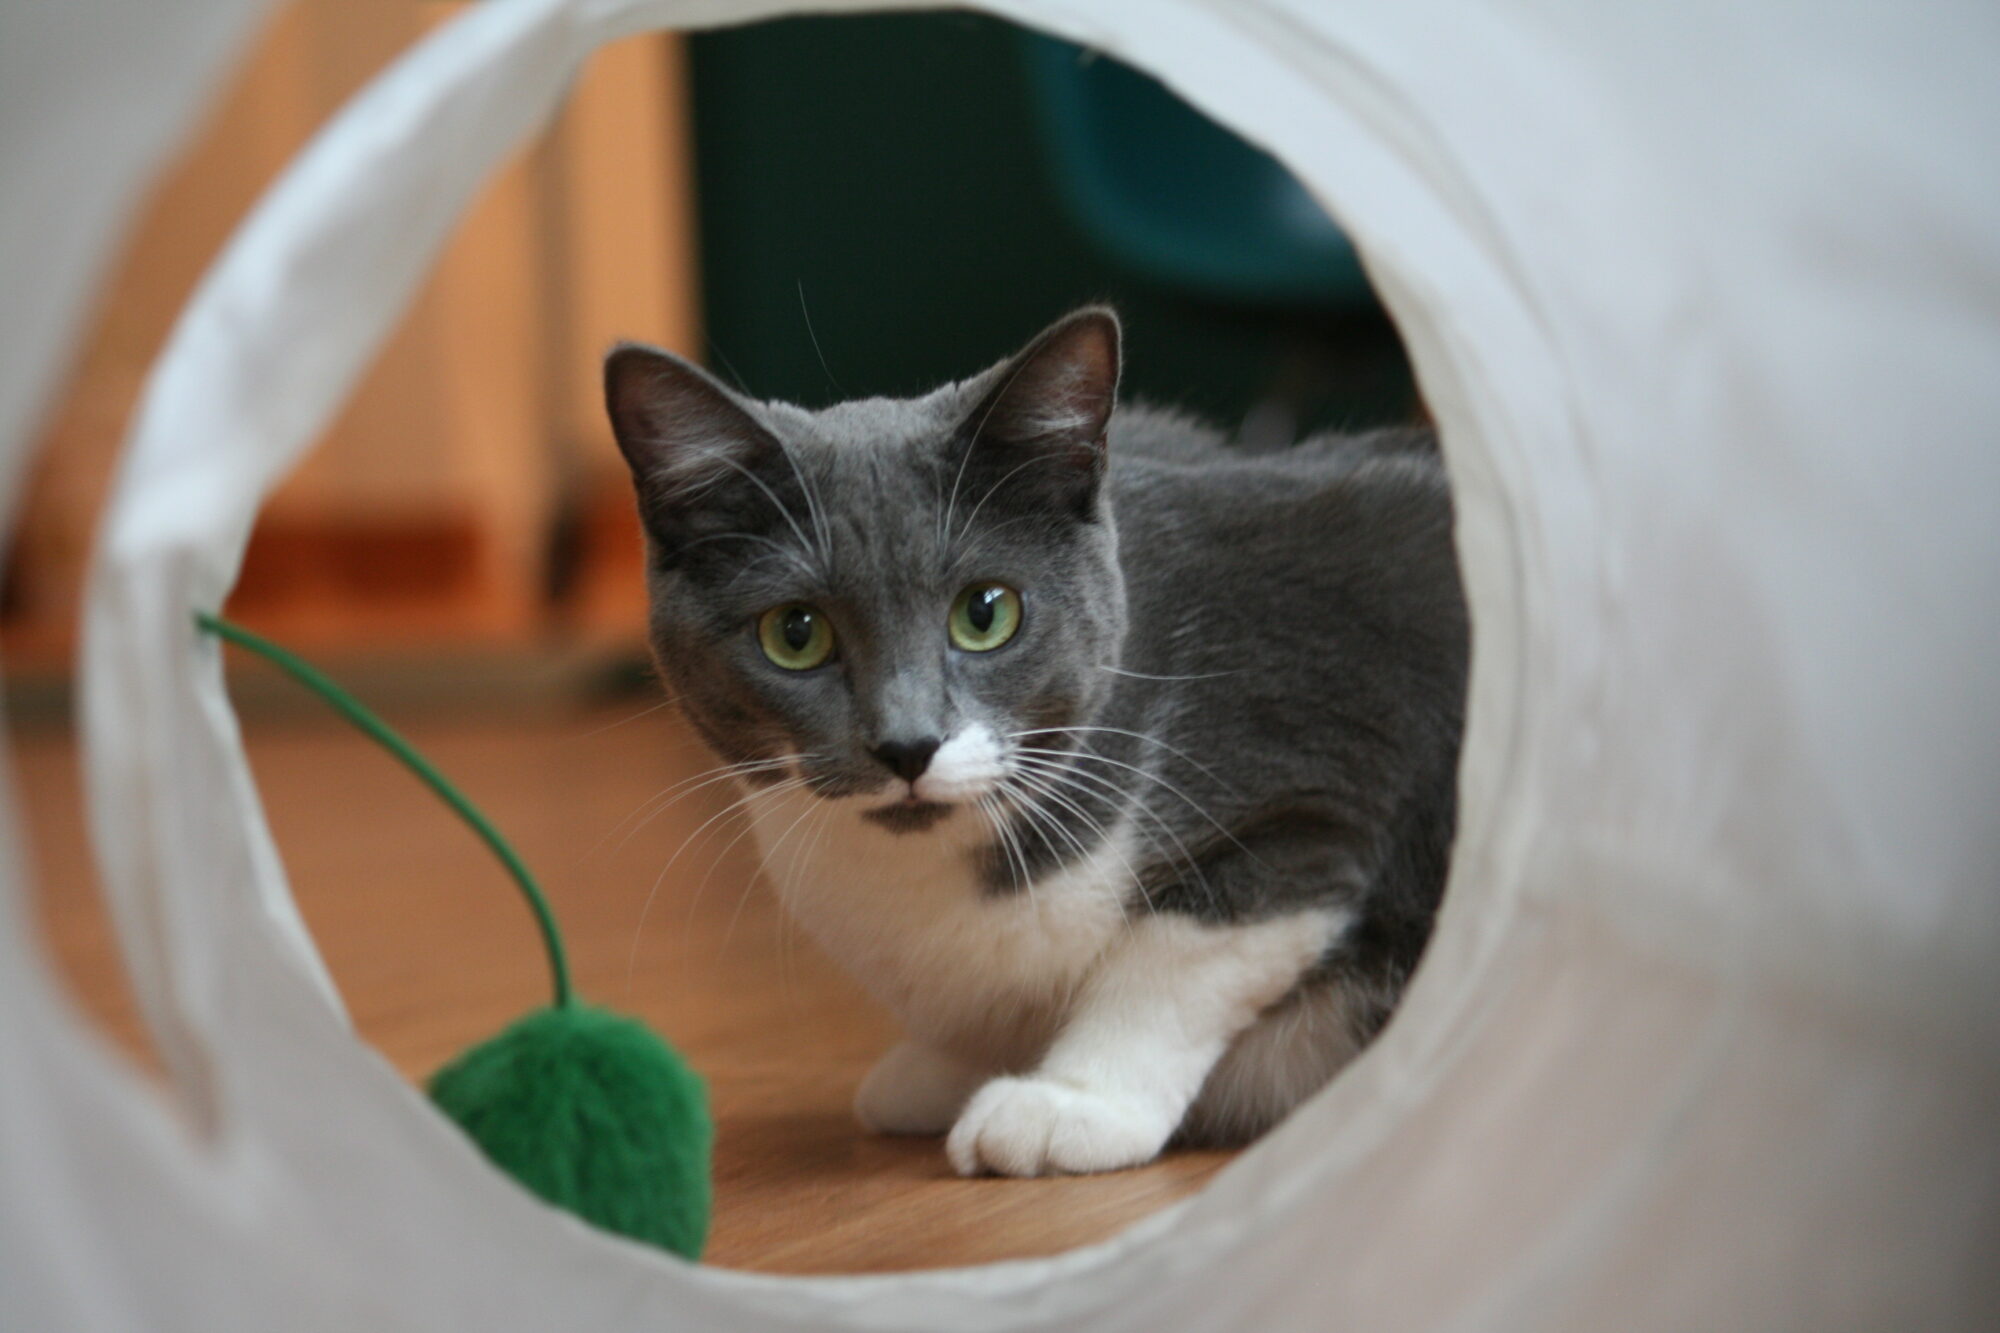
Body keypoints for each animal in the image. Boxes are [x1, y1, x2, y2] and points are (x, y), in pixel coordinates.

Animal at [600, 308, 1464, 1176]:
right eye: (795, 633)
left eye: (986, 612)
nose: (907, 744)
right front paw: (943, 1067)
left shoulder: (1329, 758)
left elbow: (1176, 956)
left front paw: (1071, 1101)